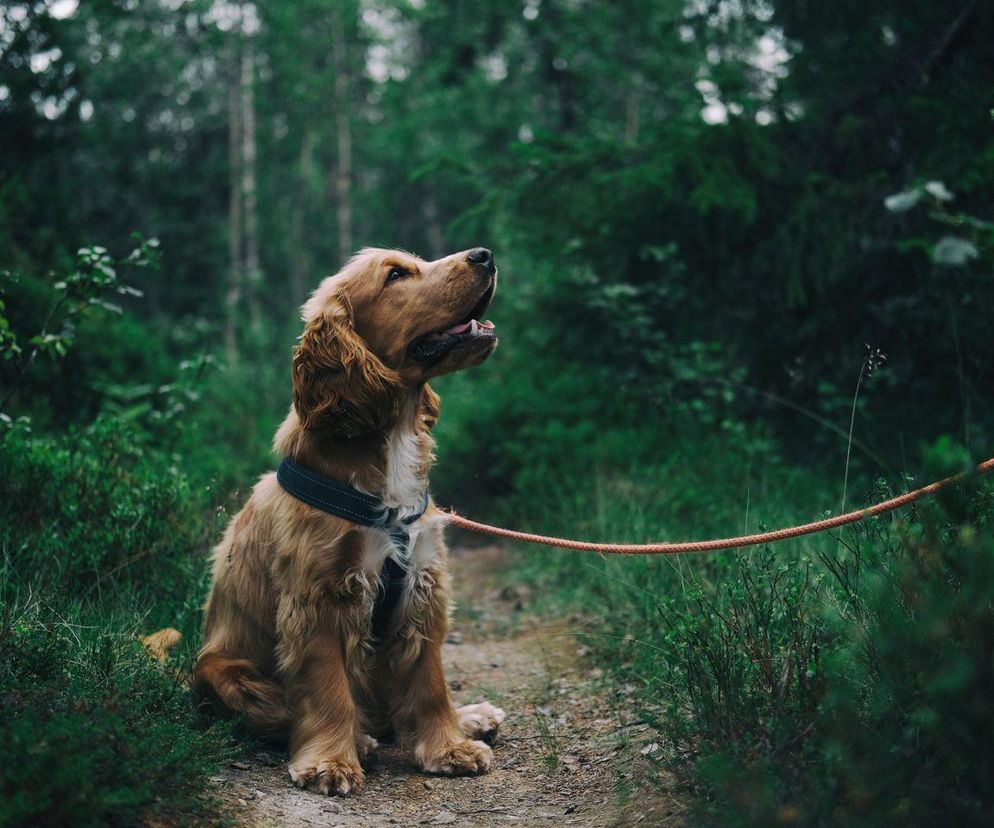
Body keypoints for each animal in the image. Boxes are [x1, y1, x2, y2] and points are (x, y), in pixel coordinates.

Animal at [191, 246, 508, 796]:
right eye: (396, 275)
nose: (485, 254)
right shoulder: (320, 597)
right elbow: (327, 688)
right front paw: (331, 762)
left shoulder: (423, 585)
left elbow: (429, 681)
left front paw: (449, 746)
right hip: (220, 670)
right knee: (286, 712)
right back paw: (359, 740)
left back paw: (470, 716)